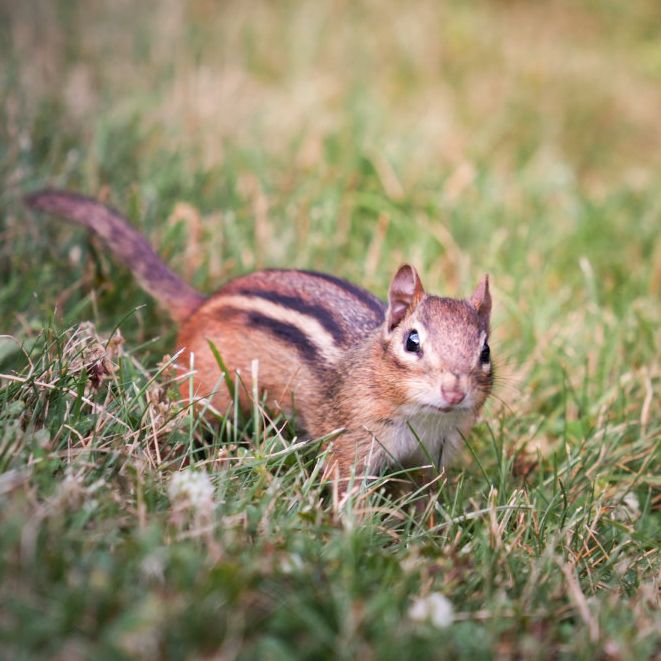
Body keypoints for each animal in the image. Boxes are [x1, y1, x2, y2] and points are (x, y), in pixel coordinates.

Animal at [25, 190, 493, 491]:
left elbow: (428, 496)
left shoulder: (435, 455)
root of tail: (202, 305)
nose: (454, 391)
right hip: (208, 394)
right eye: (412, 342)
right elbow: (347, 493)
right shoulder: (351, 443)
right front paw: (358, 532)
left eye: (485, 350)